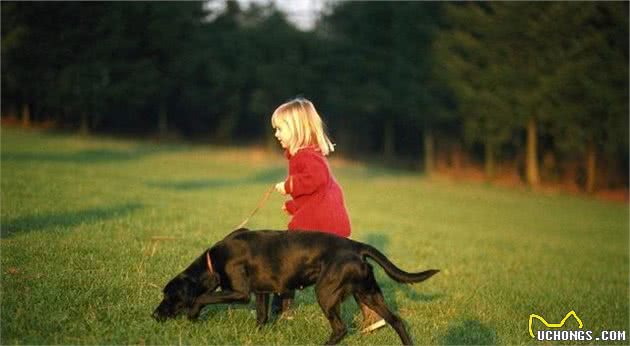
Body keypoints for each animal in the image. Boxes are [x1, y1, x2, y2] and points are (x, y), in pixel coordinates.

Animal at [153, 228, 440, 344]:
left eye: (169, 296)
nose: (154, 315)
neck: (213, 261)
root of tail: (357, 247)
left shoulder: (241, 293)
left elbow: (202, 298)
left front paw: (192, 313)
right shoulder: (261, 293)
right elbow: (262, 317)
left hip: (326, 292)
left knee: (340, 328)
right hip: (368, 293)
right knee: (397, 320)